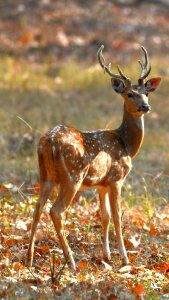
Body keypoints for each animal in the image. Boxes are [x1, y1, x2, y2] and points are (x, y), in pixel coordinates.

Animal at [26, 45, 161, 270]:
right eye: (130, 94)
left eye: (146, 94)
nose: (146, 107)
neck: (126, 144)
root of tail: (49, 142)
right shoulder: (116, 179)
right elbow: (117, 216)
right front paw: (124, 259)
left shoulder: (101, 184)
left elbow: (104, 216)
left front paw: (106, 256)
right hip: (73, 175)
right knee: (56, 211)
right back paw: (71, 262)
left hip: (45, 175)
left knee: (37, 207)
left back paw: (28, 258)